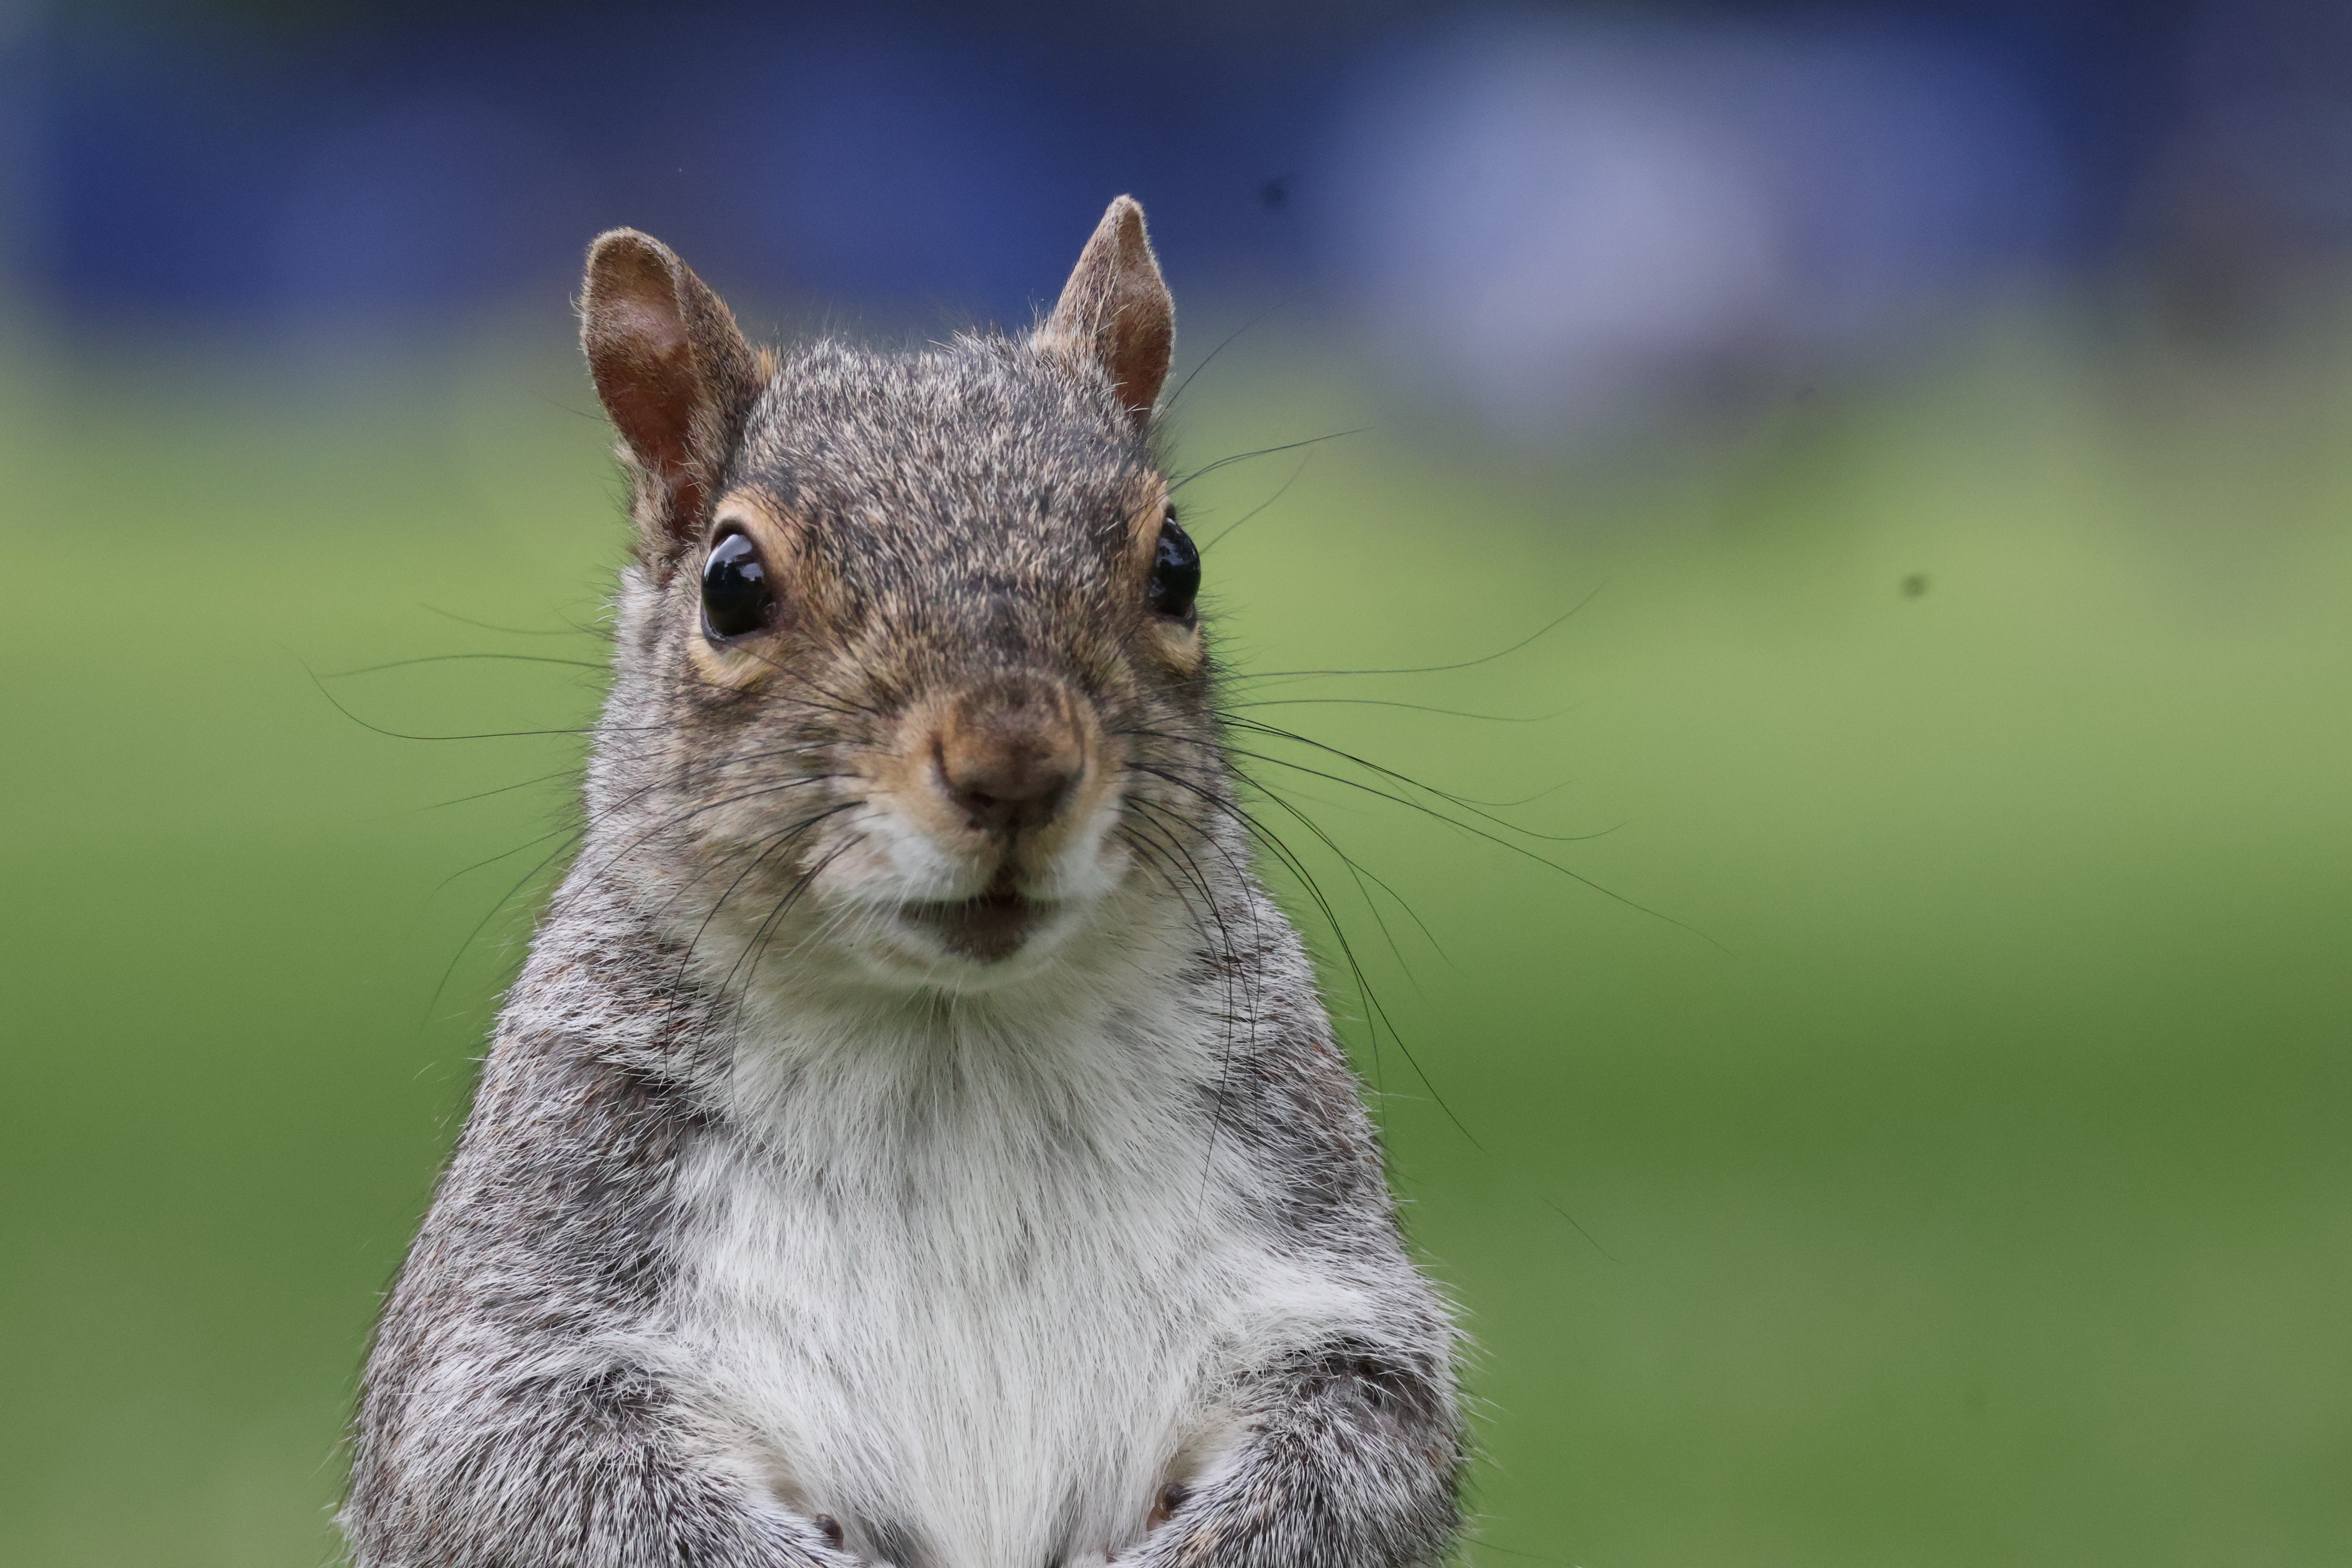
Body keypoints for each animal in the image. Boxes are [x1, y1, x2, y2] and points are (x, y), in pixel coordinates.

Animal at [342, 197, 1466, 1568]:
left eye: (1179, 565)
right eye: (731, 583)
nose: (1016, 759)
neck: (953, 1041)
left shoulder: (1316, 1281)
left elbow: (1364, 1439)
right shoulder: (532, 1299)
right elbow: (522, 1469)